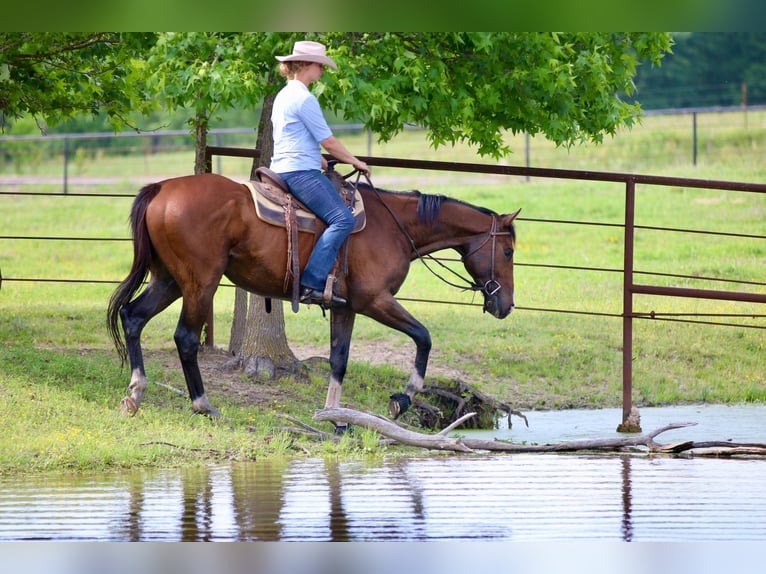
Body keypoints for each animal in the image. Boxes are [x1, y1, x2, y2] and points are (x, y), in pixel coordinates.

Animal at [106, 169, 520, 426]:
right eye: (508, 251)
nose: (506, 306)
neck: (394, 227)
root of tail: (162, 189)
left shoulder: (346, 307)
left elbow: (339, 359)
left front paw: (336, 419)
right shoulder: (375, 300)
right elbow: (423, 337)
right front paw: (404, 397)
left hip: (168, 280)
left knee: (133, 317)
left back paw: (136, 394)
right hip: (199, 283)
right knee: (185, 338)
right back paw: (204, 405)